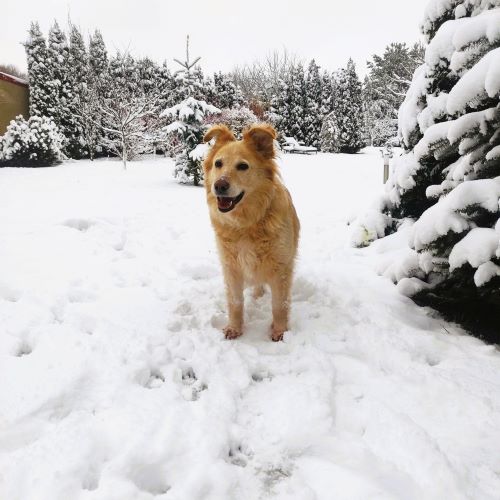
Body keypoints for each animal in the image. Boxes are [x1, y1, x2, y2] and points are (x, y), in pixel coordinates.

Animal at [203, 123, 300, 341]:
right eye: (218, 163)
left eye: (243, 166)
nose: (219, 185)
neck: (247, 223)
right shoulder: (232, 268)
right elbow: (235, 302)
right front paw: (234, 328)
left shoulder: (281, 267)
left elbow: (279, 305)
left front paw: (279, 332)